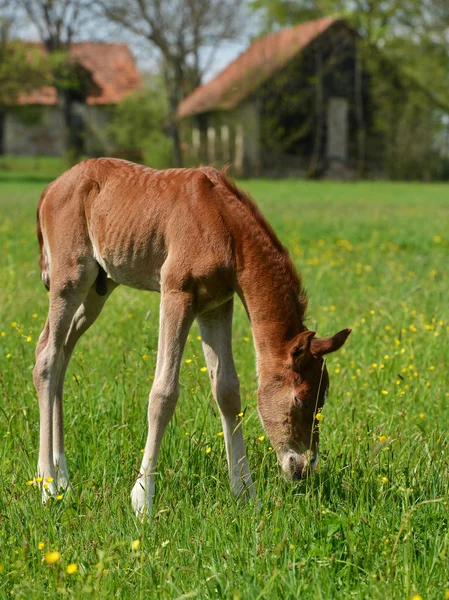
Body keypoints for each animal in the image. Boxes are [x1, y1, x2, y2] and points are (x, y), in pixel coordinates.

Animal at [35, 158, 350, 516]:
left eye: (322, 399)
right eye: (300, 398)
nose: (302, 468)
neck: (224, 227)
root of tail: (52, 187)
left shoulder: (216, 304)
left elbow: (228, 391)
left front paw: (245, 494)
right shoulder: (177, 293)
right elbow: (163, 394)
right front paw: (143, 500)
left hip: (99, 288)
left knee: (62, 352)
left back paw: (63, 479)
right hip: (70, 278)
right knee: (47, 357)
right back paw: (48, 487)